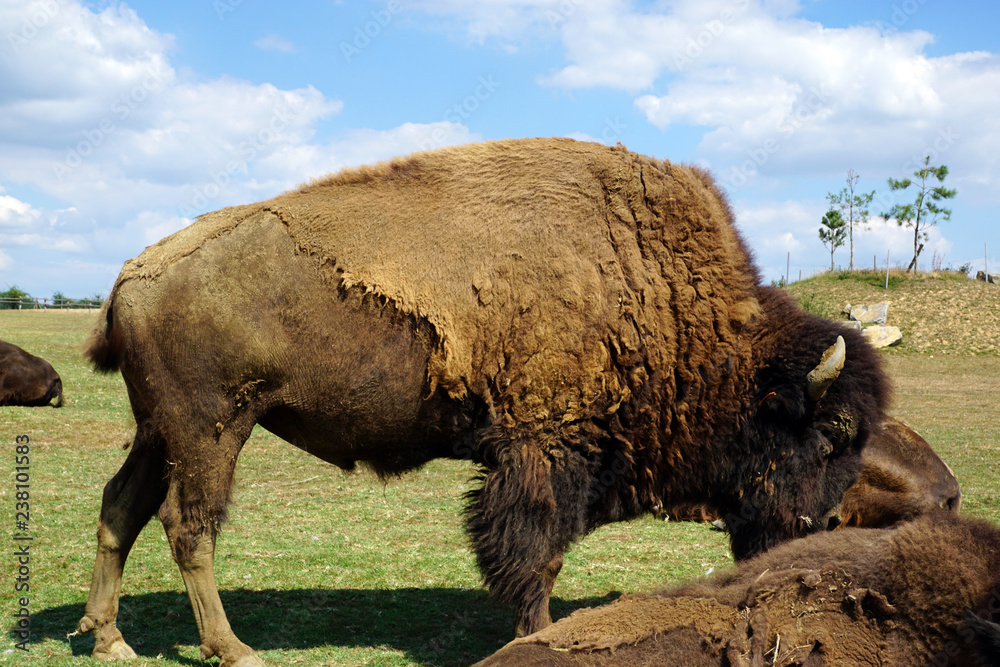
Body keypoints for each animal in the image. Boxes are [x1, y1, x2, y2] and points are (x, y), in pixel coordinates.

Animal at [76, 138, 889, 666]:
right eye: (831, 432)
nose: (822, 527)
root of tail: (131, 273)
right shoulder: (544, 452)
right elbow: (536, 553)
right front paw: (533, 632)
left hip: (159, 429)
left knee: (122, 507)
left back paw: (111, 638)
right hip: (213, 428)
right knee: (189, 527)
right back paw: (233, 648)